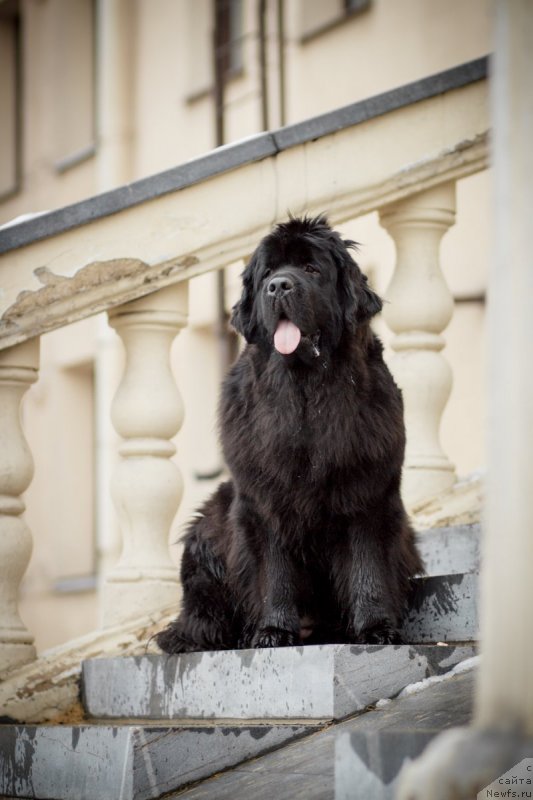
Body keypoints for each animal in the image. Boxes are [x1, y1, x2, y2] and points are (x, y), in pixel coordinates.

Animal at [156, 216, 422, 652]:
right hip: (208, 525)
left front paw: (376, 628)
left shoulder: (367, 491)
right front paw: (272, 632)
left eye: (312, 269)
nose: (279, 286)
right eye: (267, 273)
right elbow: (274, 571)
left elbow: (367, 564)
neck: (305, 391)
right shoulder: (264, 498)